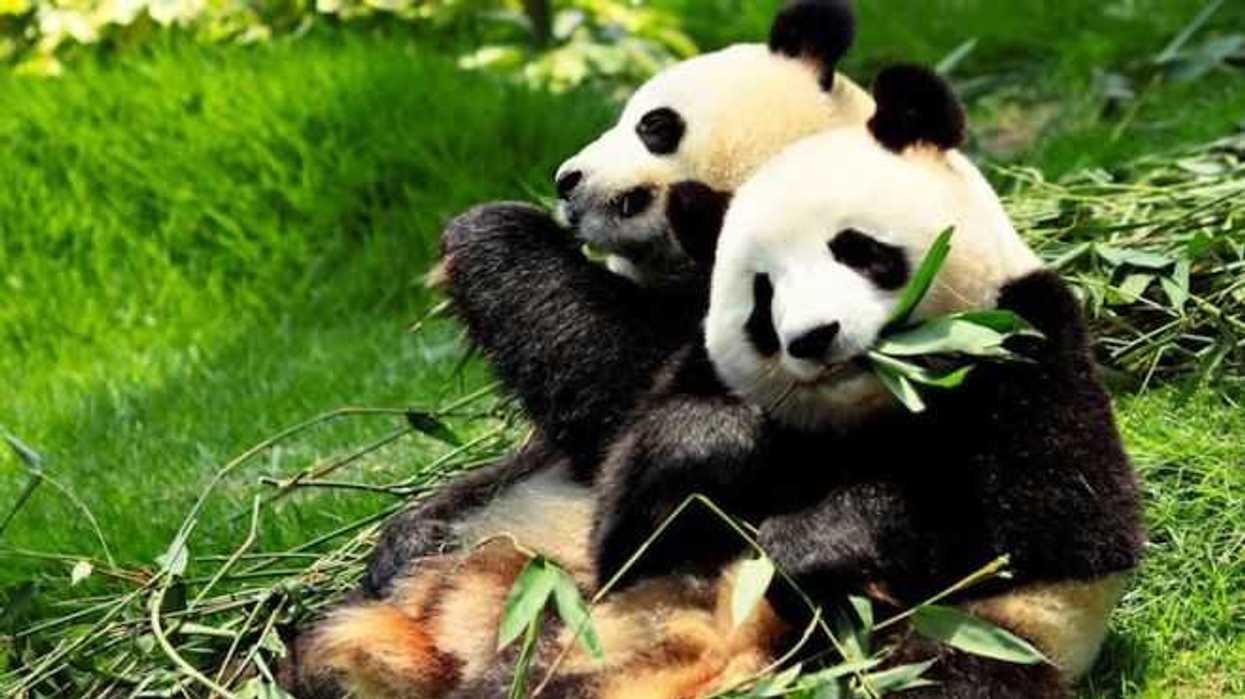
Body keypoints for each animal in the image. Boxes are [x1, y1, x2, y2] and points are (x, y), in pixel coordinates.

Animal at [286, 65, 1144, 699]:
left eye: (654, 125)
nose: (566, 181)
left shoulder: (1013, 357)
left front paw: (488, 233)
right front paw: (404, 536)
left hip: (948, 638)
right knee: (330, 648)